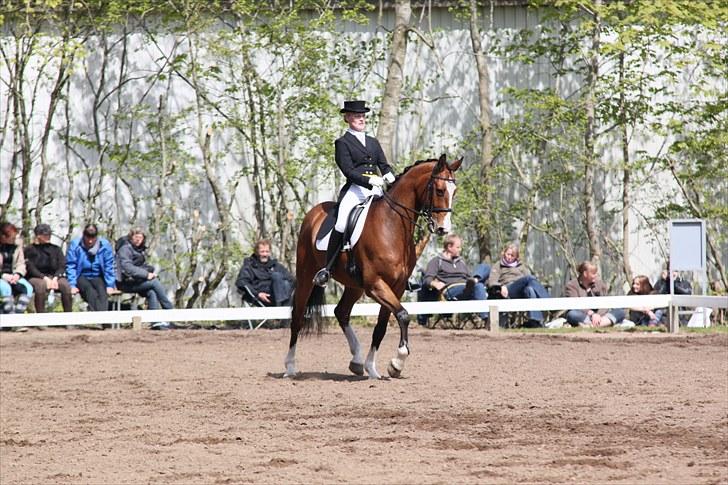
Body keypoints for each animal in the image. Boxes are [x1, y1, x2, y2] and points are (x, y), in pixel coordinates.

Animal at [284, 153, 460, 376]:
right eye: (439, 190)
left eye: (455, 191)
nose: (443, 229)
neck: (392, 225)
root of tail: (313, 213)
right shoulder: (375, 285)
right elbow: (403, 315)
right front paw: (397, 362)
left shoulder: (396, 287)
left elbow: (381, 327)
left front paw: (374, 367)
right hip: (307, 276)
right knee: (297, 317)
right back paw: (290, 366)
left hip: (354, 286)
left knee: (341, 312)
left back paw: (357, 360)